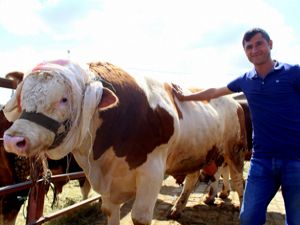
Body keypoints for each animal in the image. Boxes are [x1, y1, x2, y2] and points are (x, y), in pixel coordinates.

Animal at [2, 59, 246, 225]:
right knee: (192, 179)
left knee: (239, 180)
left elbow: (139, 217)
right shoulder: (109, 185)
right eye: (23, 96)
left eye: (64, 99)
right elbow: (111, 212)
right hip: (197, 151)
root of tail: (233, 101)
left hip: (234, 149)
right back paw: (177, 209)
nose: (14, 139)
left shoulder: (152, 173)